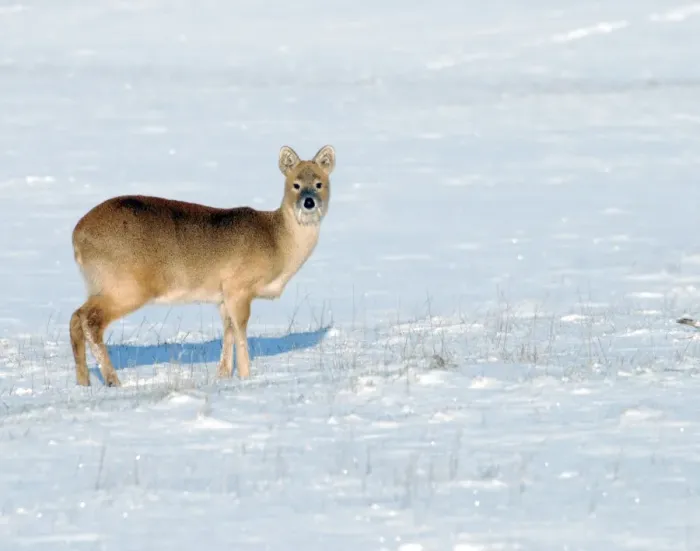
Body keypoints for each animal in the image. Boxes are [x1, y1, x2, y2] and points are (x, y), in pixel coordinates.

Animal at [69, 144, 335, 387]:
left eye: (319, 183)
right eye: (295, 184)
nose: (309, 202)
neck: (277, 241)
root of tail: (77, 234)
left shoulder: (222, 296)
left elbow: (228, 333)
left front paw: (223, 376)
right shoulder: (239, 287)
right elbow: (240, 333)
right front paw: (246, 377)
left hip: (101, 285)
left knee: (75, 317)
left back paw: (84, 382)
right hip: (125, 286)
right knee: (89, 321)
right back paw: (113, 381)